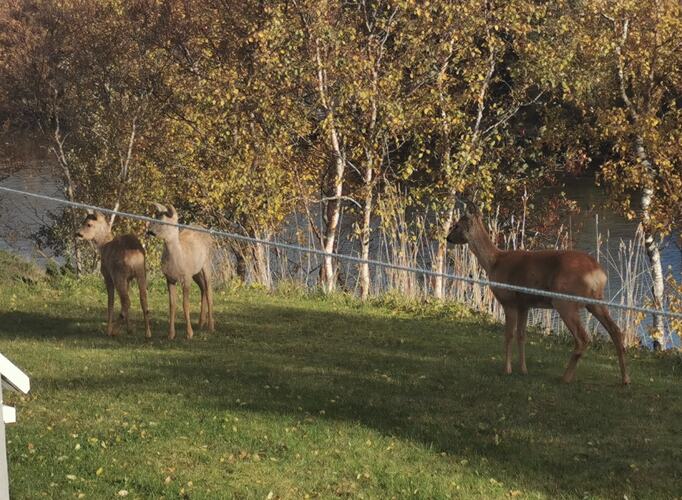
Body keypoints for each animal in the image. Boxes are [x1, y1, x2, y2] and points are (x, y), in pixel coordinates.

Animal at [76, 209, 152, 338]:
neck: (103, 245)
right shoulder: (128, 279)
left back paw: (113, 331)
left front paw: (108, 329)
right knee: (143, 299)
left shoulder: (107, 275)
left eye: (89, 224)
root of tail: (135, 257)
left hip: (118, 274)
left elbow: (110, 302)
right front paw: (129, 329)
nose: (78, 234)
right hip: (141, 272)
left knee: (126, 301)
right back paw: (148, 333)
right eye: (83, 221)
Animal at [145, 203, 212, 340]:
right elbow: (172, 305)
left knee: (209, 289)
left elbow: (185, 304)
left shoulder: (186, 277)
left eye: (163, 221)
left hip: (206, 262)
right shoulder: (170, 278)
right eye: (156, 217)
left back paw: (211, 326)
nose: (149, 230)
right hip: (195, 272)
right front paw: (171, 334)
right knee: (203, 288)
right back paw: (201, 323)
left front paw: (189, 333)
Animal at [444, 203, 628, 386]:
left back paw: (565, 377)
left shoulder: (509, 301)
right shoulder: (524, 305)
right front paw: (523, 369)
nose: (447, 238)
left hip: (564, 301)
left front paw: (507, 369)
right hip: (595, 300)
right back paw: (625, 379)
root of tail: (599, 273)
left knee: (583, 338)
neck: (494, 262)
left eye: (457, 225)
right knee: (616, 331)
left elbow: (508, 335)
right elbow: (521, 335)